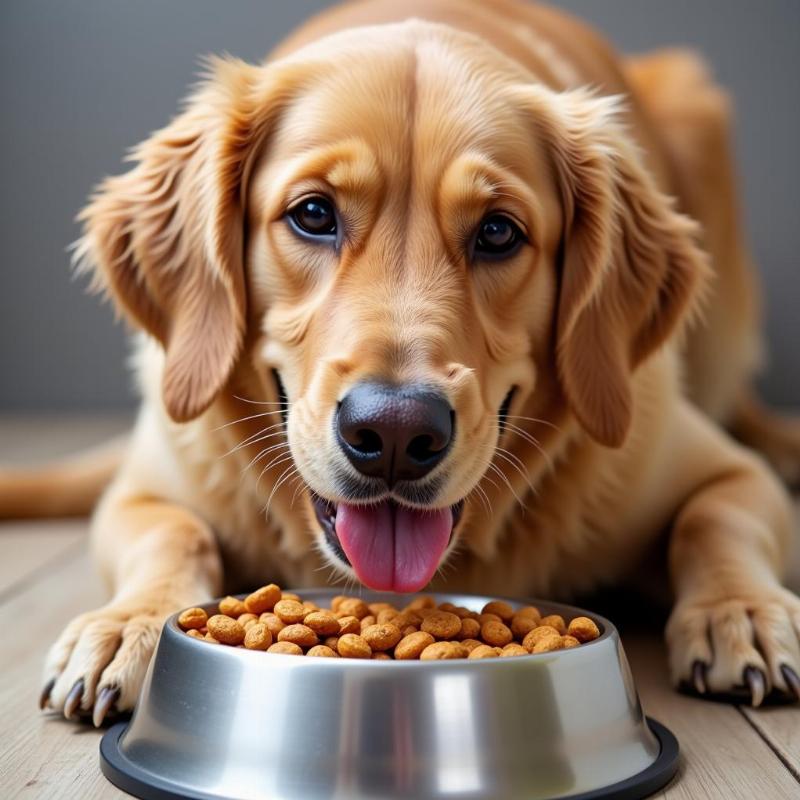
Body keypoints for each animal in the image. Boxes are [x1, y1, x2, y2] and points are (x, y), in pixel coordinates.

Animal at [3, 0, 796, 724]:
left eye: (499, 232)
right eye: (313, 214)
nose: (392, 434)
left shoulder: (718, 468)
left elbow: (716, 518)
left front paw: (741, 610)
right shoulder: (149, 486)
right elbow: (174, 533)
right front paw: (127, 625)